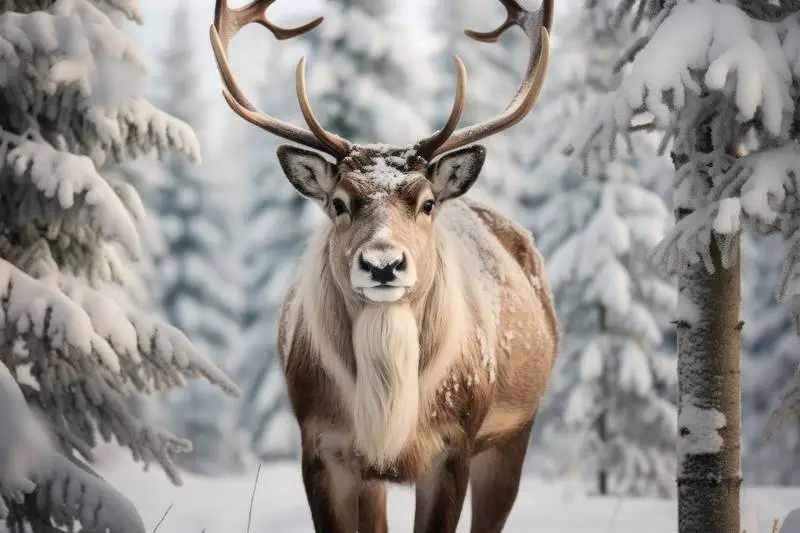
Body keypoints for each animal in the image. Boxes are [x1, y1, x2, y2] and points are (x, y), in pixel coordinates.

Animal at [209, 0, 558, 531]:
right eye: (338, 202)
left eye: (428, 202)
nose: (383, 264)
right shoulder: (321, 444)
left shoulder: (454, 444)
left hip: (516, 428)